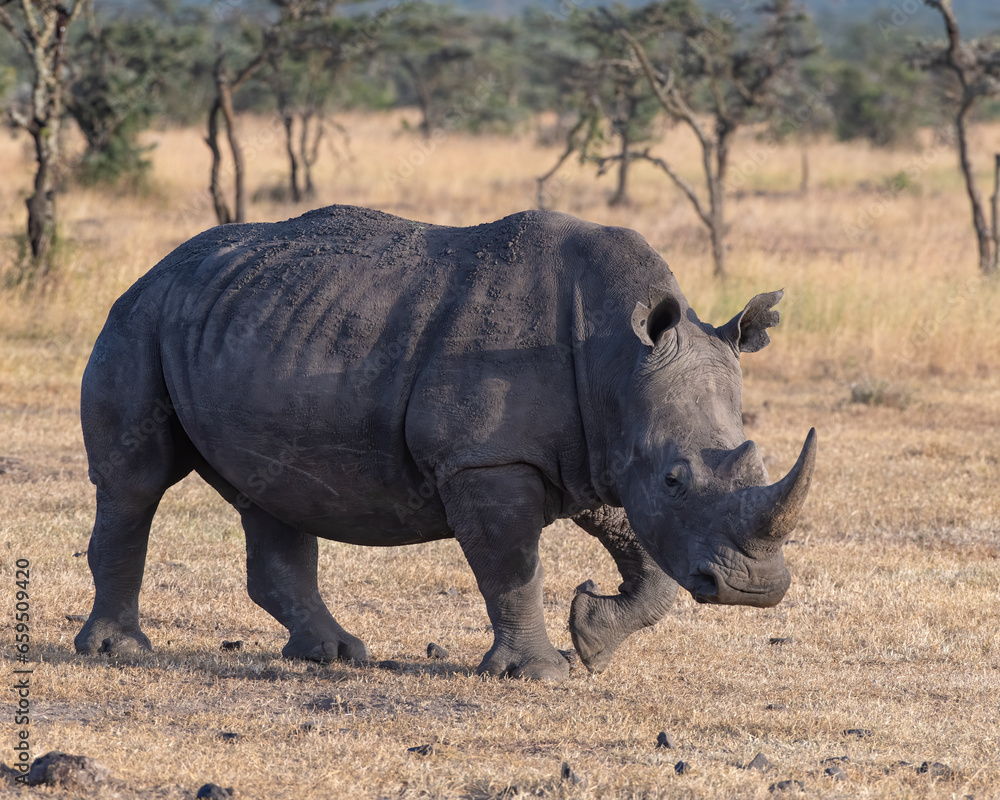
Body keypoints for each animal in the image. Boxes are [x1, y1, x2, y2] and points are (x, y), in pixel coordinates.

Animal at [75, 204, 816, 680]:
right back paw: (120, 654)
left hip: (243, 325)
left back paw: (334, 656)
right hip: (138, 319)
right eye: (674, 479)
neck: (615, 358)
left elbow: (646, 555)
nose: (753, 589)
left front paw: (591, 638)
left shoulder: (600, 451)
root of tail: (155, 267)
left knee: (270, 492)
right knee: (135, 483)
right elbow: (512, 565)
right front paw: (540, 674)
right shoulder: (486, 459)